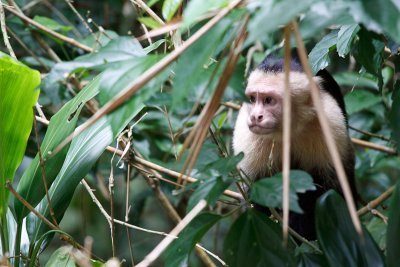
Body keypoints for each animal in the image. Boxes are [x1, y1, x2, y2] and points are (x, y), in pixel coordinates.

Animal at [233, 55, 358, 242]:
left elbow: (331, 189)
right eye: (253, 99)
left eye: (269, 100)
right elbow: (255, 189)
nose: (255, 116)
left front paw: (301, 230)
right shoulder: (247, 132)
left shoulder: (330, 121)